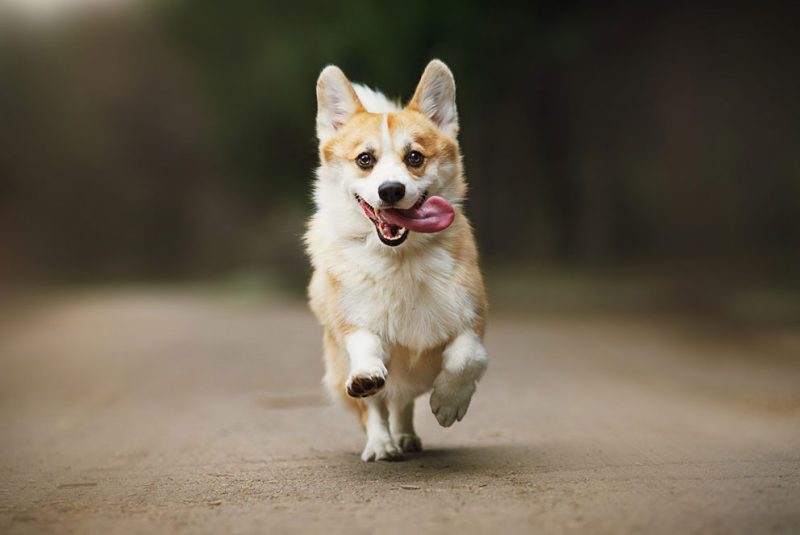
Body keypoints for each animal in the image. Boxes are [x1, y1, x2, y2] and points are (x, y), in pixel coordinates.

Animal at [304, 57, 488, 460]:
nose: (390, 190)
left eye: (414, 157)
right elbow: (366, 347)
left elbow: (466, 357)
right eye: (365, 159)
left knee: (403, 402)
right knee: (376, 406)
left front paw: (449, 402)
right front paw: (367, 377)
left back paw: (405, 436)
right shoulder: (354, 321)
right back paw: (382, 444)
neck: (401, 258)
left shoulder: (472, 319)